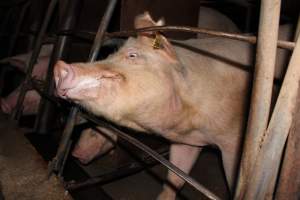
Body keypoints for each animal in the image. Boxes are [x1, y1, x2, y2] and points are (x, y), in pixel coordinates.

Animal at [54, 12, 292, 200]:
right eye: (111, 55)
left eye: (132, 55)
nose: (59, 66)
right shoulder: (187, 142)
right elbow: (176, 179)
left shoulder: (234, 142)